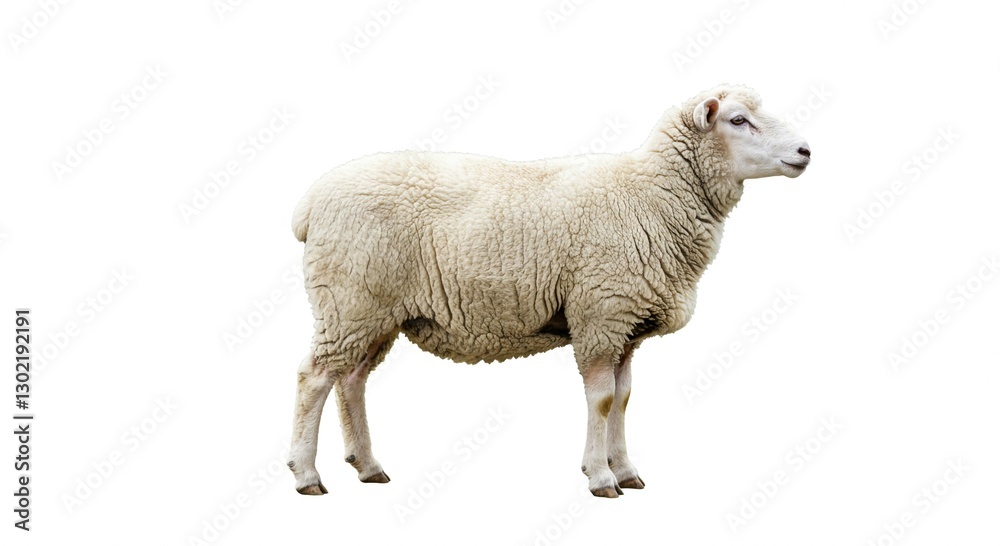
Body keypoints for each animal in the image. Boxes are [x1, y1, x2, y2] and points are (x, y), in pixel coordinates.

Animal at [287, 84, 811, 498]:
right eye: (738, 120)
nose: (806, 150)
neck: (651, 196)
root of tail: (310, 204)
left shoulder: (625, 326)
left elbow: (624, 398)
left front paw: (625, 470)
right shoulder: (600, 315)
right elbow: (602, 400)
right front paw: (601, 477)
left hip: (374, 310)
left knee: (351, 380)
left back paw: (368, 466)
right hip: (348, 298)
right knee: (314, 379)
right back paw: (306, 474)